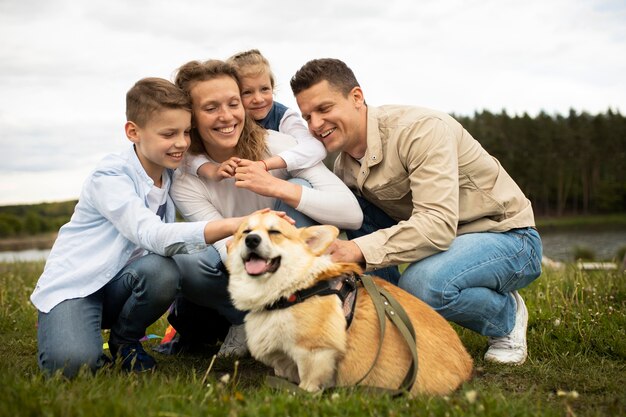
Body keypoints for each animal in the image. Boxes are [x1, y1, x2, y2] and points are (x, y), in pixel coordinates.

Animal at [227, 213, 470, 394]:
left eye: (275, 232)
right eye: (245, 232)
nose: (252, 240)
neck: (292, 289)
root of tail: (466, 366)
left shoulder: (315, 352)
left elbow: (308, 382)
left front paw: (303, 394)